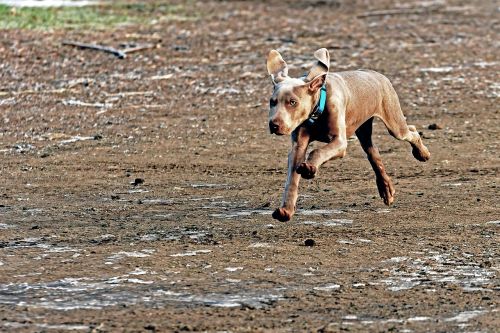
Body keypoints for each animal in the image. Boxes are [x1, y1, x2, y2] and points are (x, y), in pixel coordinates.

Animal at [266, 48, 430, 222]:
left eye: (293, 102)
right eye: (272, 102)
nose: (274, 125)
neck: (316, 112)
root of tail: (376, 74)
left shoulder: (339, 142)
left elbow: (317, 151)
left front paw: (309, 167)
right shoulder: (298, 147)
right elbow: (291, 179)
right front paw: (286, 210)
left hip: (394, 123)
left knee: (411, 130)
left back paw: (422, 154)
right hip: (364, 129)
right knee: (374, 154)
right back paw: (386, 190)